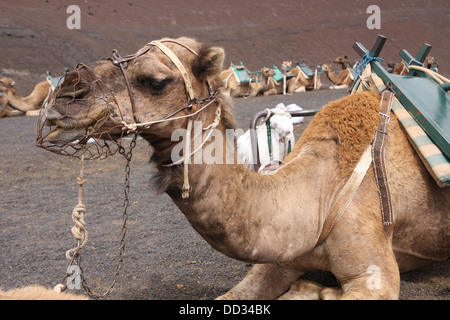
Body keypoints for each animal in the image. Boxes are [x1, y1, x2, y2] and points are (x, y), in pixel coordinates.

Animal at [37, 37, 448, 300]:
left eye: (154, 80)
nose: (67, 93)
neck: (320, 194)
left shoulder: (374, 275)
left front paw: (312, 291)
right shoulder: (276, 262)